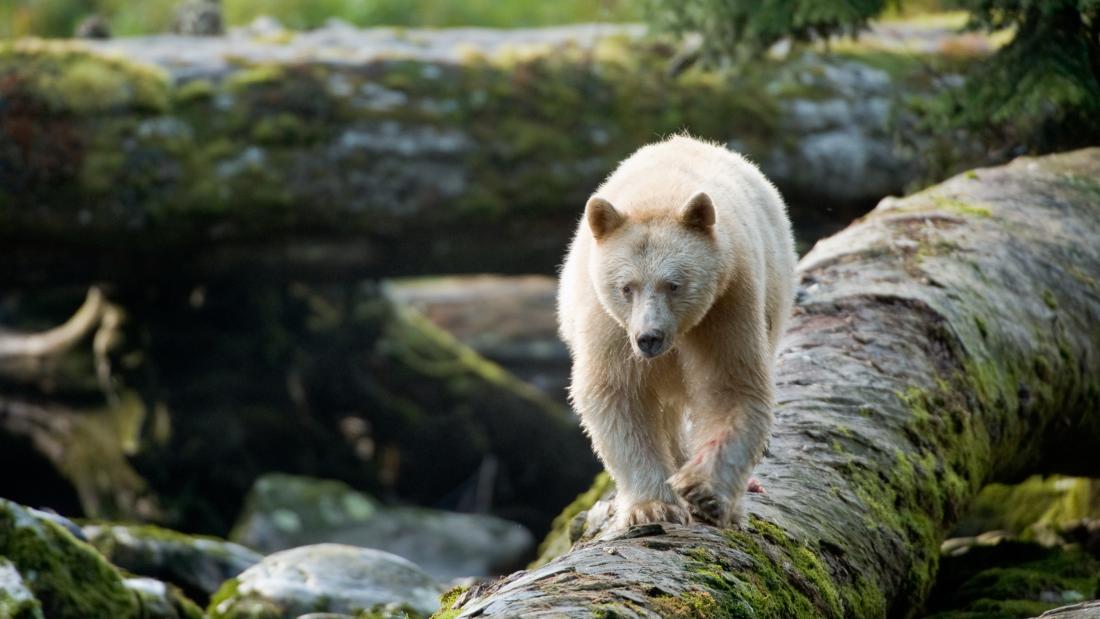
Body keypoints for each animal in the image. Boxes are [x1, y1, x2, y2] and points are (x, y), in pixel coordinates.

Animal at [558, 134, 792, 527]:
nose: (649, 338)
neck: (659, 195)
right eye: (626, 287)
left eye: (674, 285)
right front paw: (653, 506)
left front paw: (703, 491)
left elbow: (731, 385)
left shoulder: (727, 304)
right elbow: (616, 392)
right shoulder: (609, 323)